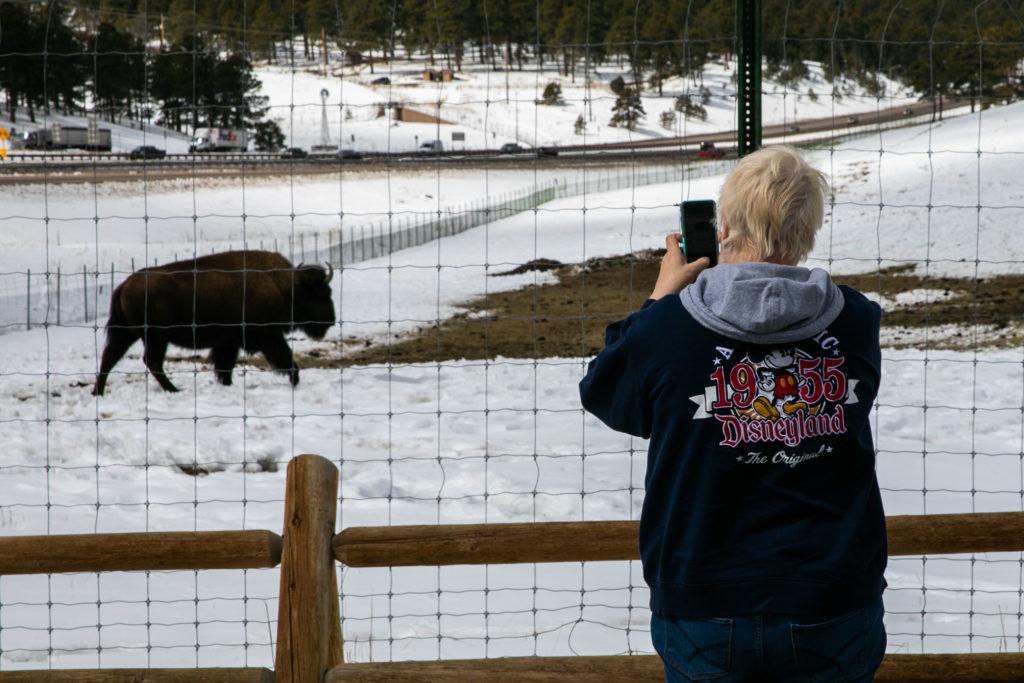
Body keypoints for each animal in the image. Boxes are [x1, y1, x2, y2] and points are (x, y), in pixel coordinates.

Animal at [93, 249, 335, 395]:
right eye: (320, 293)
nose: (331, 321)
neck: (285, 286)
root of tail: (124, 284)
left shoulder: (229, 342)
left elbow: (224, 366)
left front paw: (226, 385)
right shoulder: (268, 337)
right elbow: (284, 357)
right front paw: (295, 380)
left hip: (130, 333)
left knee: (111, 357)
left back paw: (98, 392)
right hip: (155, 337)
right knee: (150, 361)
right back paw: (174, 390)